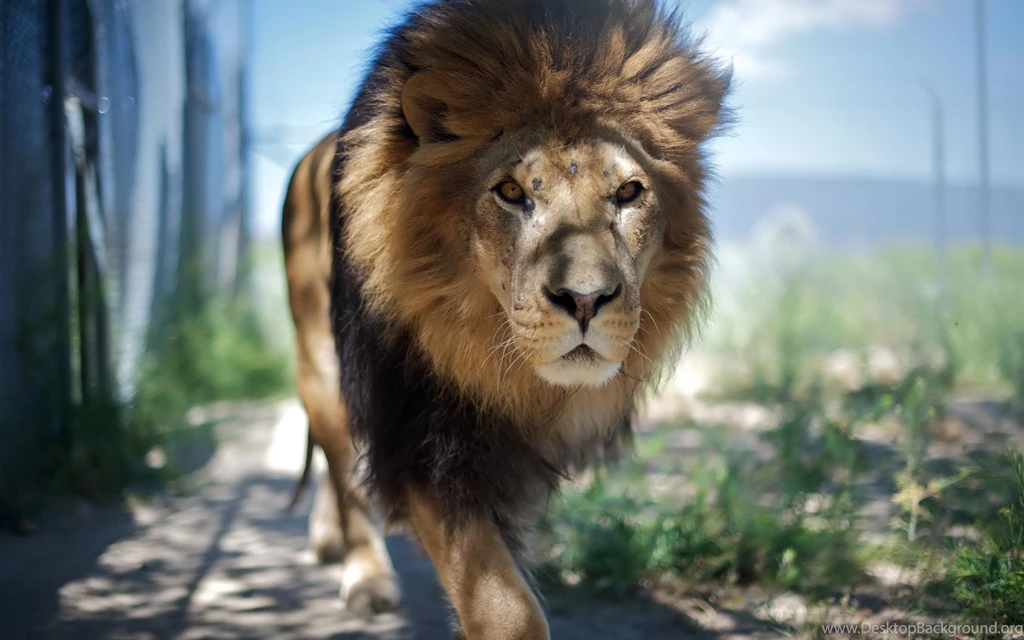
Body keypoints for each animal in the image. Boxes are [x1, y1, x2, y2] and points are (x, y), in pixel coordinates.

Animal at [282, 0, 730, 637]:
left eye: (628, 192)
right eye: (512, 192)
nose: (586, 300)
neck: (502, 369)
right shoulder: (420, 431)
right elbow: (505, 607)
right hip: (319, 359)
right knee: (343, 465)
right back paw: (364, 576)